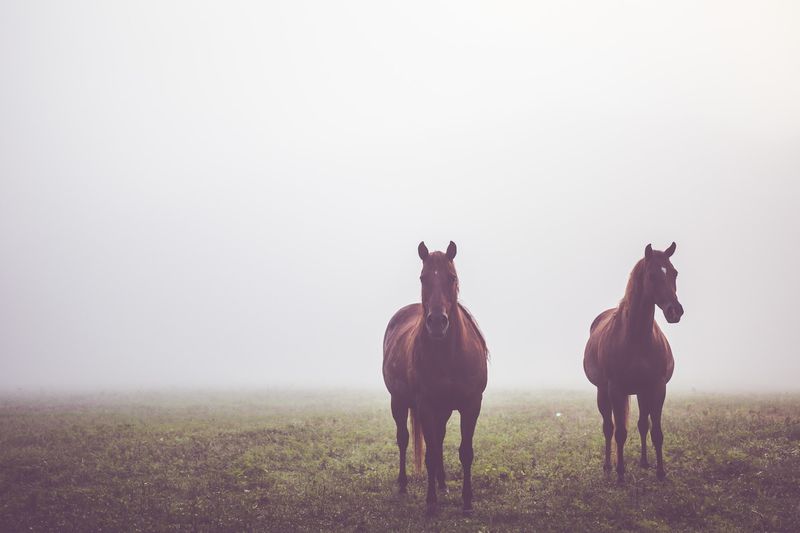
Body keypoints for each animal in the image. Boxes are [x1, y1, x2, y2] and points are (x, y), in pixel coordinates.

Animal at [382, 241, 488, 513]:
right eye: (423, 278)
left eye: (452, 277)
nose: (438, 322)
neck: (448, 355)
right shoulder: (426, 405)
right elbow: (429, 454)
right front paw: (431, 503)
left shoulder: (471, 405)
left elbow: (465, 452)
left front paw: (467, 500)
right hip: (399, 402)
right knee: (404, 439)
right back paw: (403, 484)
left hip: (443, 409)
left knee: (438, 439)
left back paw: (442, 483)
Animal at [583, 242, 683, 482]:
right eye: (652, 275)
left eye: (674, 273)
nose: (675, 311)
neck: (636, 338)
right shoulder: (616, 389)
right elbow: (619, 432)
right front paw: (620, 473)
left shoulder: (657, 387)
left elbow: (655, 431)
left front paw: (661, 472)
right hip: (603, 392)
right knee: (609, 427)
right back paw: (609, 465)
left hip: (641, 392)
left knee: (642, 425)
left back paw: (644, 462)